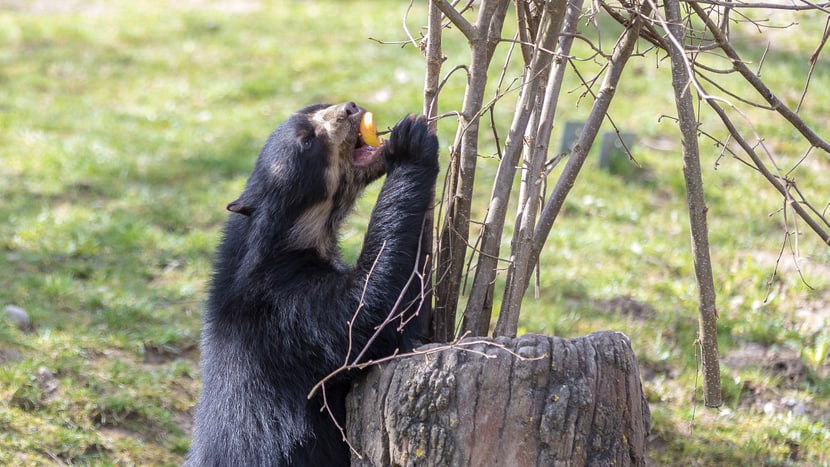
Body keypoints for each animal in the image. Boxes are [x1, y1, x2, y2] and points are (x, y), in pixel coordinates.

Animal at [185, 103, 438, 467]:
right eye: (307, 142)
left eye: (315, 108)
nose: (350, 107)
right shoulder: (285, 311)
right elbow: (367, 315)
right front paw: (411, 145)